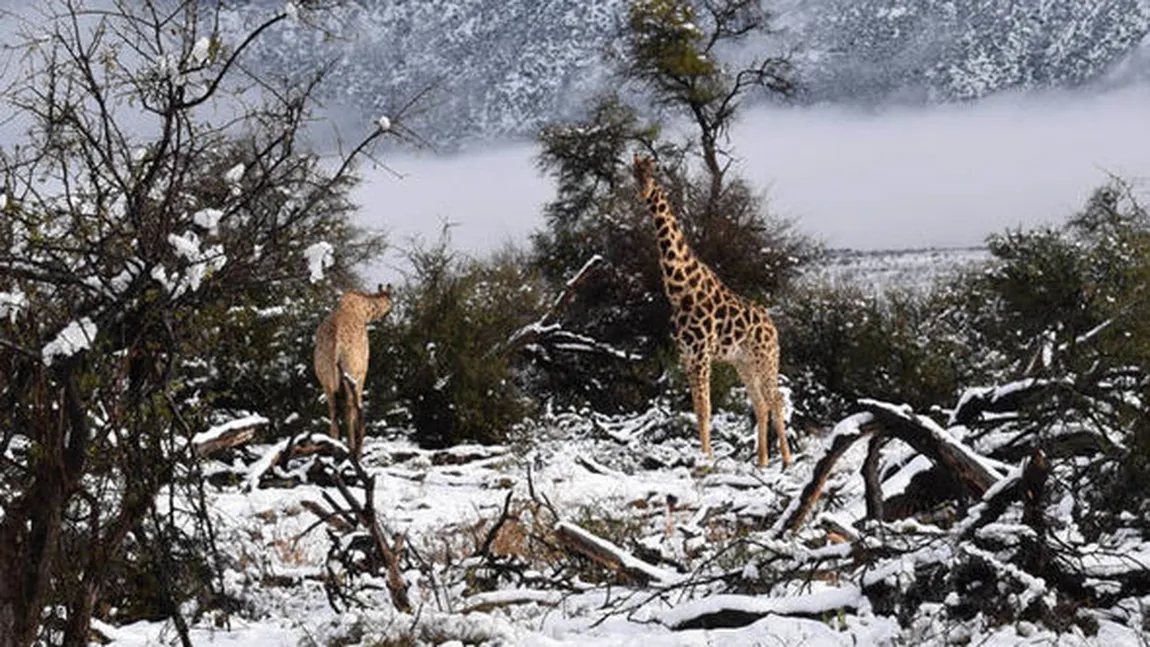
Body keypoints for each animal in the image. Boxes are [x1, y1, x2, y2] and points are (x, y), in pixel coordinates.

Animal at [312, 285, 393, 459]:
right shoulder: (362, 371)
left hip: (325, 378)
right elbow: (358, 405)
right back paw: (352, 449)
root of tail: (336, 344)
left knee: (333, 410)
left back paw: (335, 449)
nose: (388, 313)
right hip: (350, 371)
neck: (365, 312)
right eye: (391, 301)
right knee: (349, 407)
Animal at [630, 153, 791, 468]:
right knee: (761, 403)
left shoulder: (702, 353)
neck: (680, 289)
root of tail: (772, 326)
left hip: (766, 357)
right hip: (743, 362)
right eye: (634, 173)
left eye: (653, 172)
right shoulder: (687, 354)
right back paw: (762, 461)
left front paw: (706, 458)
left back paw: (788, 460)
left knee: (776, 399)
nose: (643, 193)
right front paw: (703, 456)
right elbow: (697, 408)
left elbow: (705, 408)